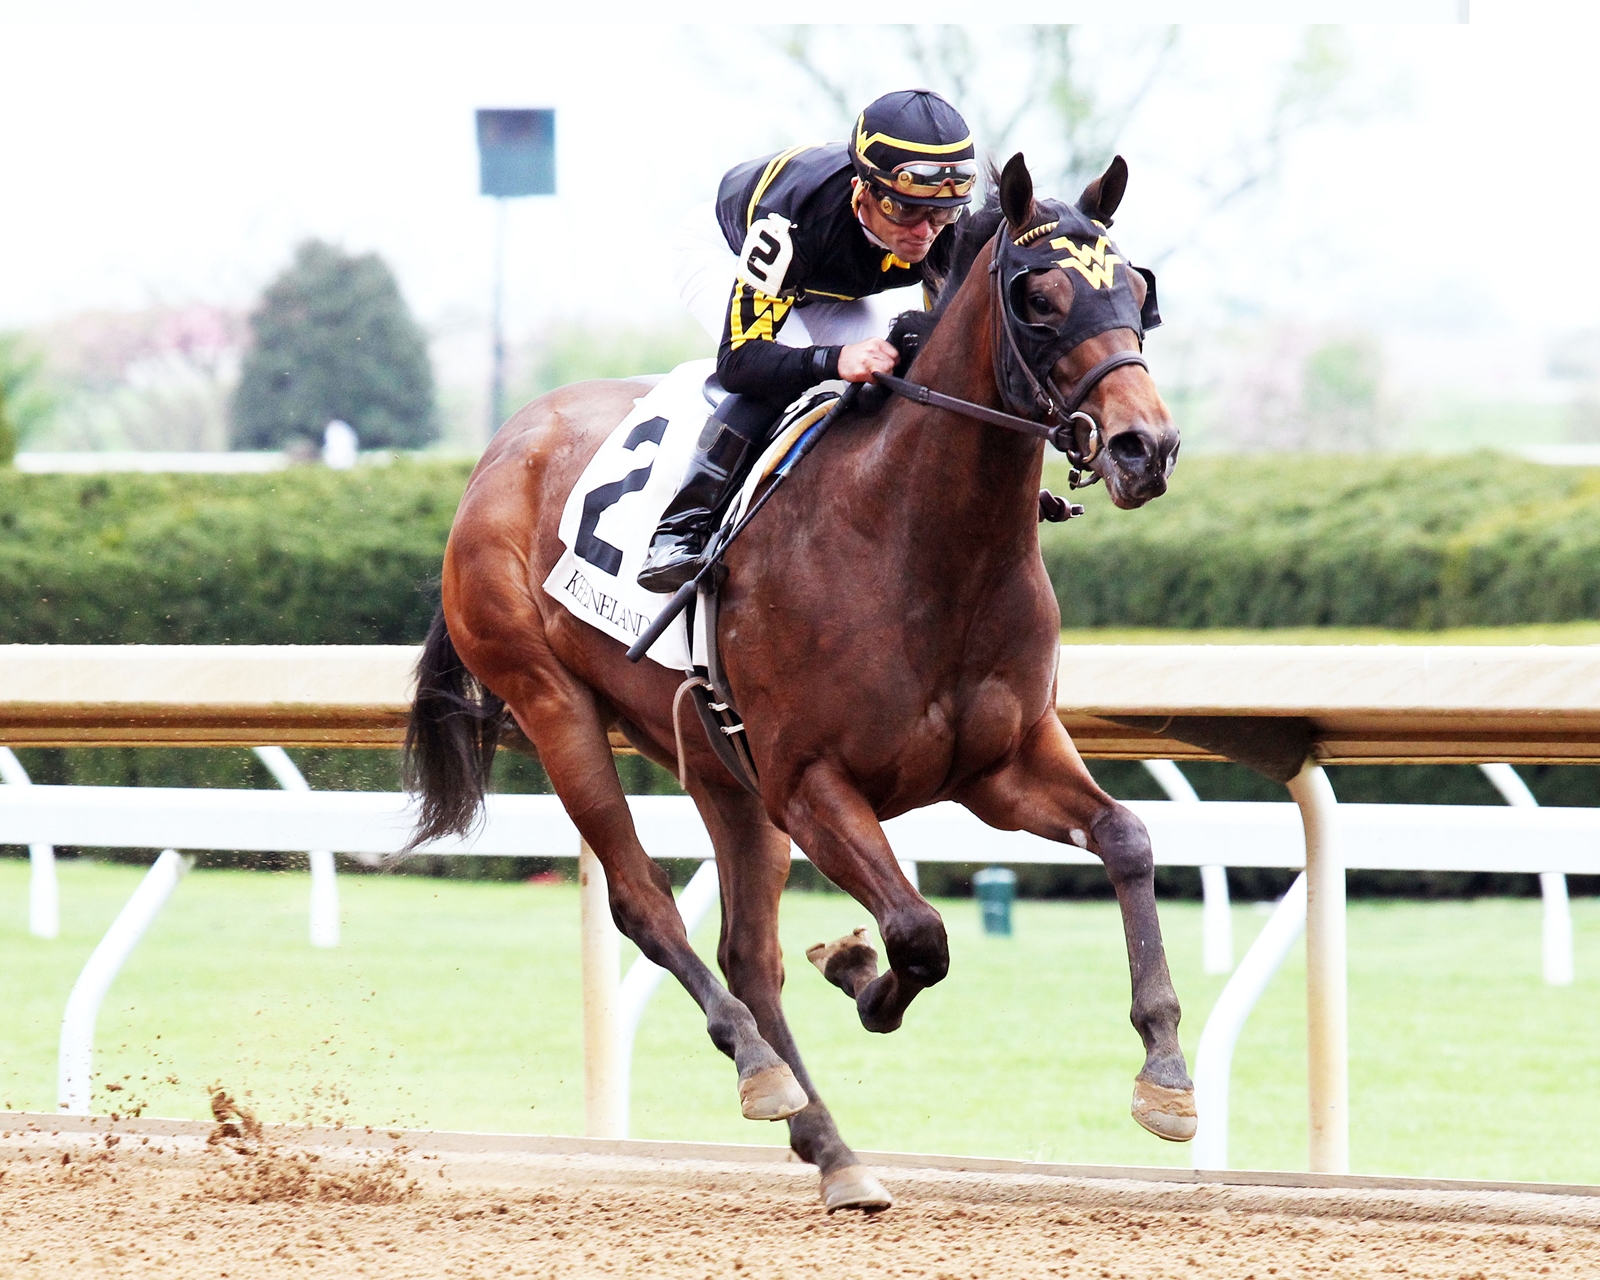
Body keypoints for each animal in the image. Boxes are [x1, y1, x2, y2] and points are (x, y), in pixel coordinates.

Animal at [404, 153, 1189, 1212]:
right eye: (1039, 298)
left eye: (1138, 292)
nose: (1147, 447)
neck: (916, 538)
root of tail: (501, 449)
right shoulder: (810, 781)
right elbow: (917, 932)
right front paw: (860, 971)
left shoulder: (1004, 764)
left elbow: (1127, 837)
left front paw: (1167, 1077)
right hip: (552, 704)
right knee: (646, 905)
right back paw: (763, 1071)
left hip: (715, 762)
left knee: (749, 952)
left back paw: (832, 1148)